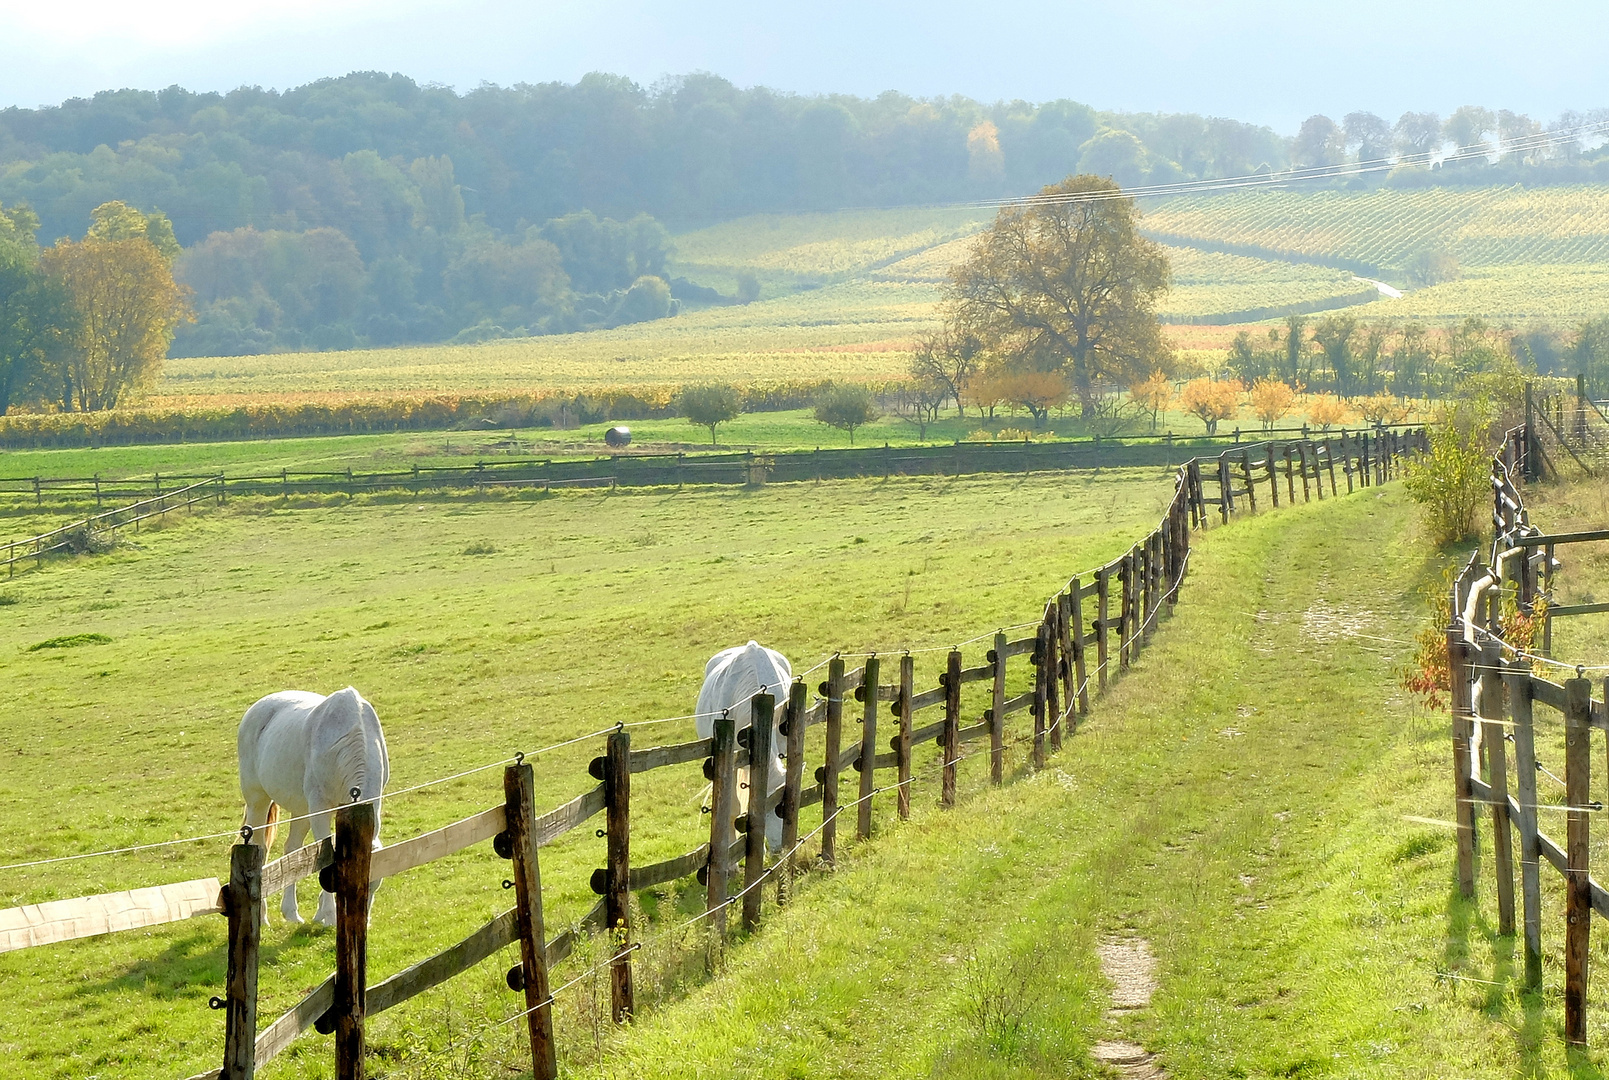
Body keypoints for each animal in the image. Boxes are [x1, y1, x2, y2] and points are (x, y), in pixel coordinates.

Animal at [234, 688, 389, 927]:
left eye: (372, 888)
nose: (362, 923)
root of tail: (258, 707)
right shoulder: (319, 809)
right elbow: (326, 854)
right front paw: (328, 915)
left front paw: (320, 914)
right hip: (258, 802)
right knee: (261, 847)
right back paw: (263, 917)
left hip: (301, 811)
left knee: (291, 850)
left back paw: (291, 912)